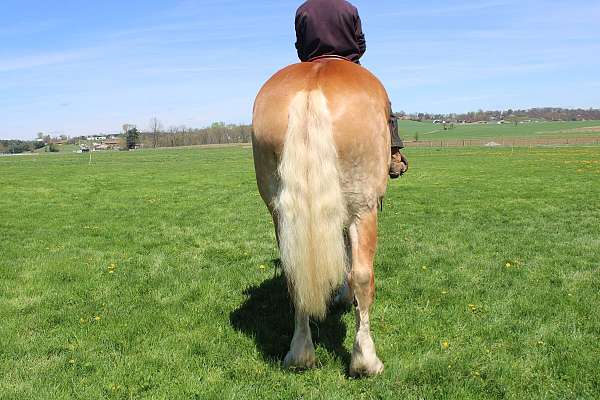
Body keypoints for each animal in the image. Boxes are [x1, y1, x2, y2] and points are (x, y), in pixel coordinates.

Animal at [251, 57, 392, 376]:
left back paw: (300, 354)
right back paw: (366, 360)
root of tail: (311, 86)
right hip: (363, 209)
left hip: (279, 212)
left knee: (294, 276)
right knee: (362, 276)